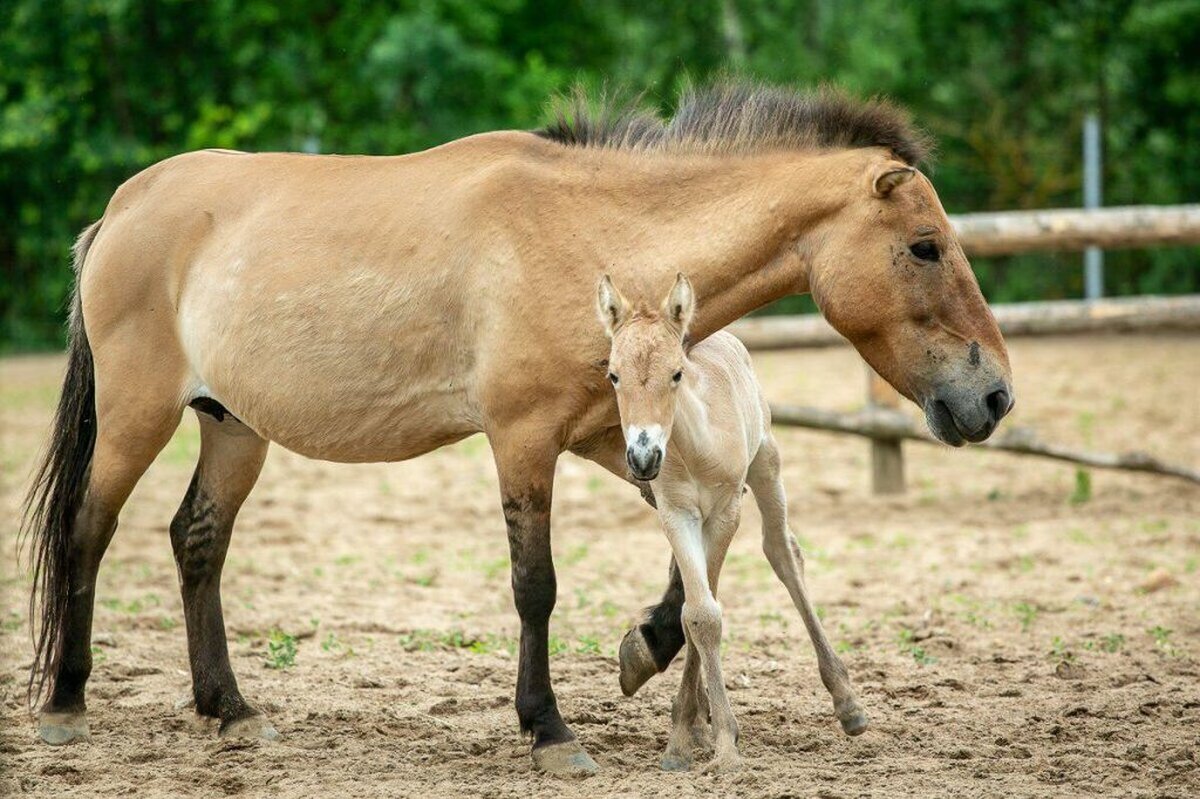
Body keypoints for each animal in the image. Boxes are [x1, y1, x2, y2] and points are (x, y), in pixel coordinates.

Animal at [597, 273, 864, 772]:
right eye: (614, 375)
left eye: (676, 374)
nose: (643, 457)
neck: (695, 446)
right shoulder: (675, 512)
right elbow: (698, 614)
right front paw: (684, 739)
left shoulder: (725, 511)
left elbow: (707, 612)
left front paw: (723, 745)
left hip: (766, 464)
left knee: (783, 553)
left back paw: (848, 703)